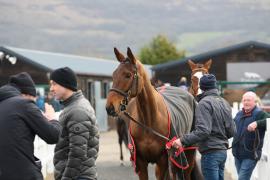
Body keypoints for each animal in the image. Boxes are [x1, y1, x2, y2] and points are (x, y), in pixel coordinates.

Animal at [105, 47, 198, 180]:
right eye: (113, 75)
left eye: (128, 75)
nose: (110, 107)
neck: (148, 121)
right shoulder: (141, 162)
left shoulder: (162, 161)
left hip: (187, 153)